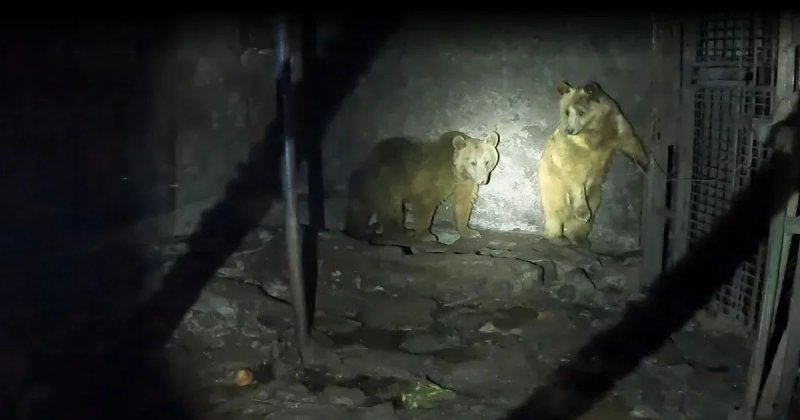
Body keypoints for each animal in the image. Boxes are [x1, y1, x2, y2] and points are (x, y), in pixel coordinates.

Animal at [344, 130, 501, 242]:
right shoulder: (431, 178)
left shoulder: (464, 182)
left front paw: (470, 231)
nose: (482, 180)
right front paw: (427, 235)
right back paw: (400, 232)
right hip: (389, 179)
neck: (456, 171)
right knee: (390, 207)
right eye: (473, 162)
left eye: (487, 161)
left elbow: (463, 203)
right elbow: (426, 203)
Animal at [536, 80, 649, 247]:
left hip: (596, 192)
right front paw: (583, 212)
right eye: (567, 112)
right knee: (555, 208)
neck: (593, 132)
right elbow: (574, 175)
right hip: (551, 181)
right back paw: (557, 235)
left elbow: (631, 142)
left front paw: (644, 163)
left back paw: (579, 238)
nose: (569, 129)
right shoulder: (571, 151)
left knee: (590, 212)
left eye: (580, 112)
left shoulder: (616, 126)